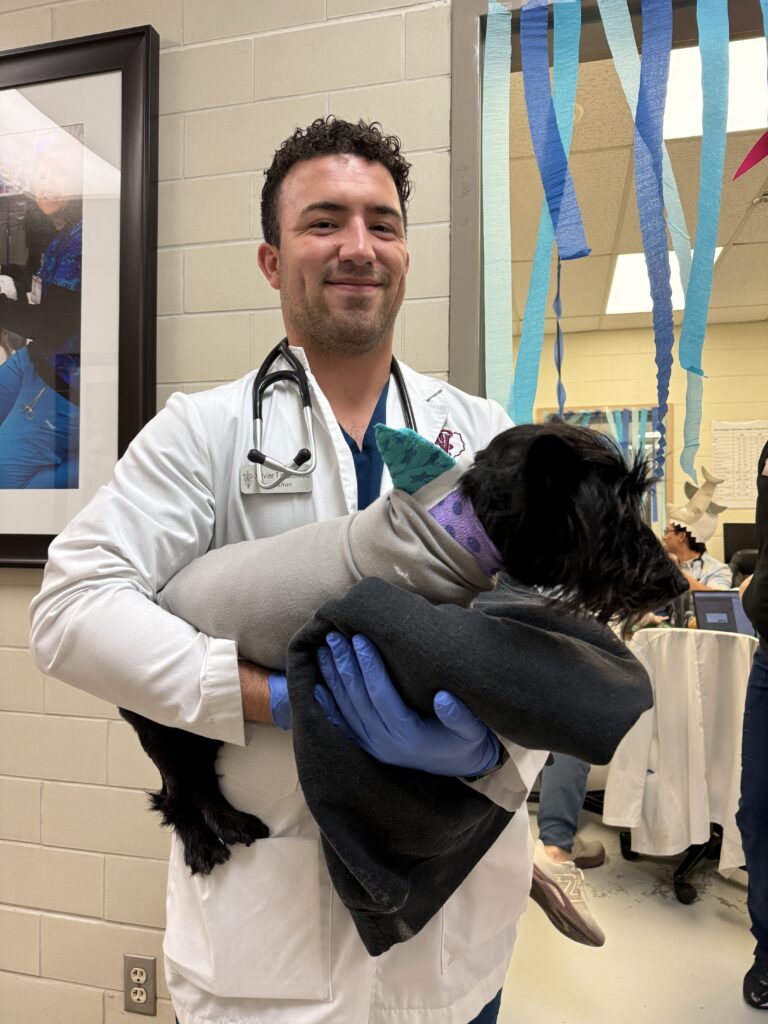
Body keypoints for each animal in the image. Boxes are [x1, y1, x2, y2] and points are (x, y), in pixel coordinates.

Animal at [123, 419, 688, 876]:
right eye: (611, 517)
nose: (678, 582)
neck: (455, 531)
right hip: (167, 725)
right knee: (178, 791)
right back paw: (204, 842)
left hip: (204, 731)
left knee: (199, 780)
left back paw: (227, 821)